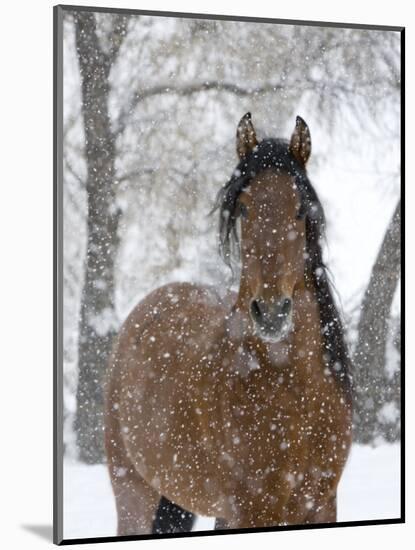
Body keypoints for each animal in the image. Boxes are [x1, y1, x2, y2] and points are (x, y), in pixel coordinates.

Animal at [104, 113, 354, 540]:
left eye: (300, 210)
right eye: (244, 210)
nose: (271, 312)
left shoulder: (321, 505)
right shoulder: (253, 509)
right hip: (134, 493)